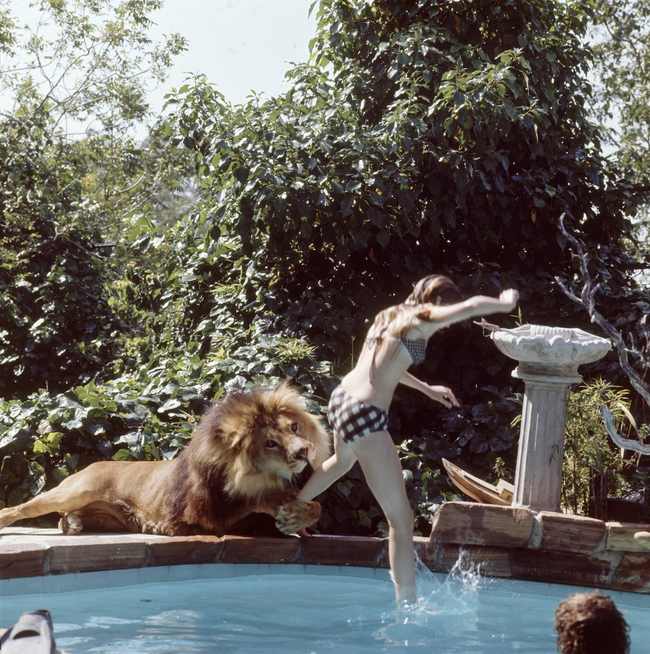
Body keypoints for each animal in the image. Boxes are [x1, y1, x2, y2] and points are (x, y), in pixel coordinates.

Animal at [0, 384, 330, 540]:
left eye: (294, 427)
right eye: (270, 443)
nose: (304, 452)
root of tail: (93, 463)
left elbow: (316, 506)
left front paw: (300, 515)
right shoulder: (208, 517)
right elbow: (256, 500)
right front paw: (285, 506)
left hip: (108, 517)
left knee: (67, 518)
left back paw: (72, 523)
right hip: (74, 491)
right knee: (19, 508)